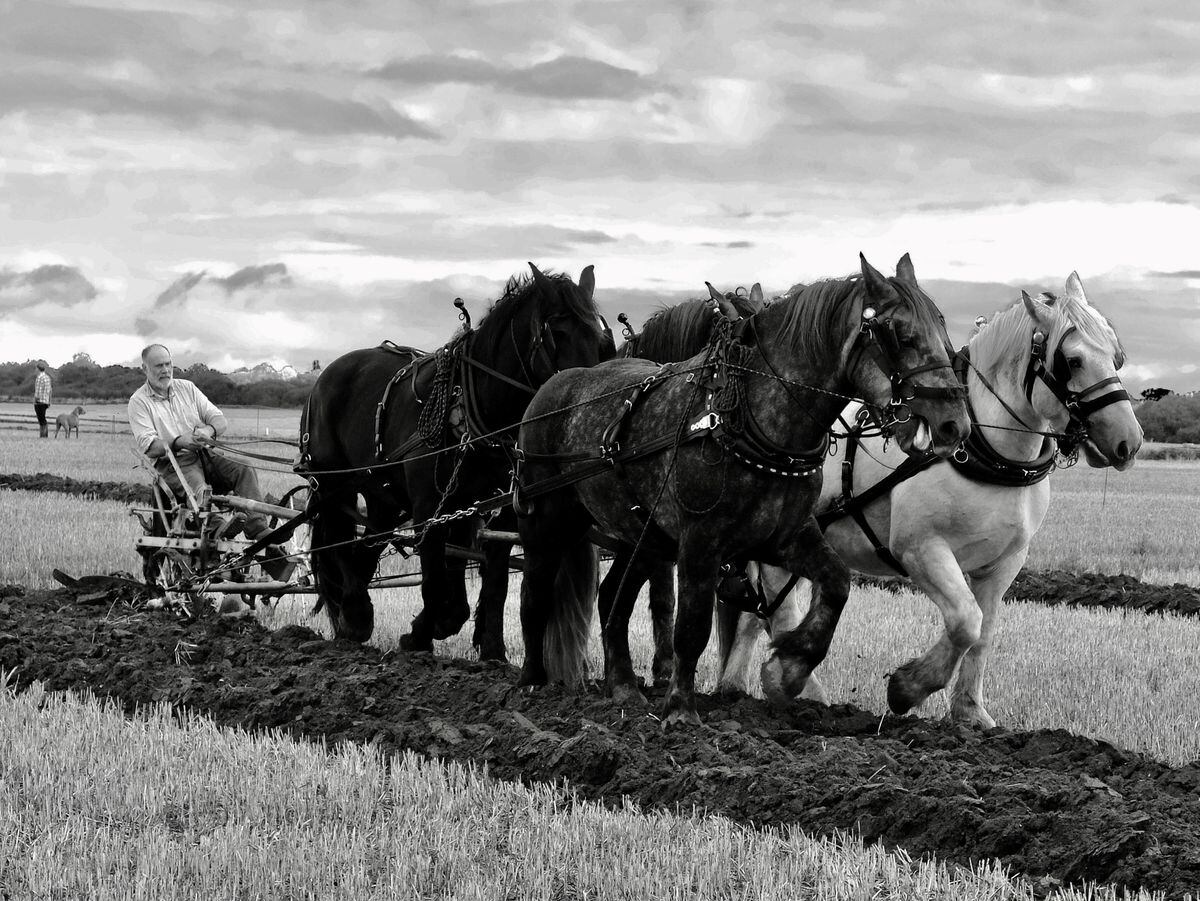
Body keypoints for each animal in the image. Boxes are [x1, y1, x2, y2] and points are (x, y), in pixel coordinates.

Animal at [300, 263, 609, 652]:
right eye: (558, 331)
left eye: (600, 337)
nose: (590, 399)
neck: (473, 407)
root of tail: (326, 375)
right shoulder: (429, 507)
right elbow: (435, 580)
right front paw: (420, 636)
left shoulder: (489, 509)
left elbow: (488, 582)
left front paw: (489, 647)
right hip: (333, 482)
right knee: (337, 540)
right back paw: (354, 616)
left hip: (381, 491)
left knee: (369, 541)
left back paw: (355, 616)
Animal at [516, 251, 974, 724]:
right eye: (900, 334)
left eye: (943, 331)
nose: (954, 424)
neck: (746, 419)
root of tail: (552, 385)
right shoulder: (700, 541)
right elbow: (692, 626)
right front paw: (681, 707)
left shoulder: (784, 536)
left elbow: (837, 585)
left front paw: (787, 669)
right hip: (548, 520)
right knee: (535, 593)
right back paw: (530, 681)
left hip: (643, 536)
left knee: (612, 600)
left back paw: (623, 686)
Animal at [710, 271, 1142, 729]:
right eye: (1072, 361)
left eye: (1117, 356)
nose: (1128, 442)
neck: (984, 448)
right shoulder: (921, 549)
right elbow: (966, 621)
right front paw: (907, 688)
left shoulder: (1004, 563)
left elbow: (984, 634)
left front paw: (971, 712)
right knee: (778, 611)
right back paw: (800, 690)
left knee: (760, 616)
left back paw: (735, 685)